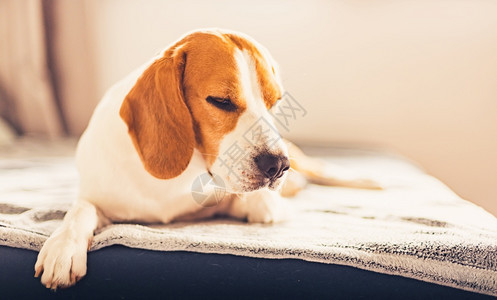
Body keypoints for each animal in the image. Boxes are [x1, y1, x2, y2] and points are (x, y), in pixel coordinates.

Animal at [33, 29, 378, 290]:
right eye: (221, 101)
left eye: (276, 102)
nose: (278, 166)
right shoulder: (95, 198)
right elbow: (80, 211)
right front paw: (63, 246)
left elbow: (256, 203)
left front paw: (259, 202)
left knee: (321, 169)